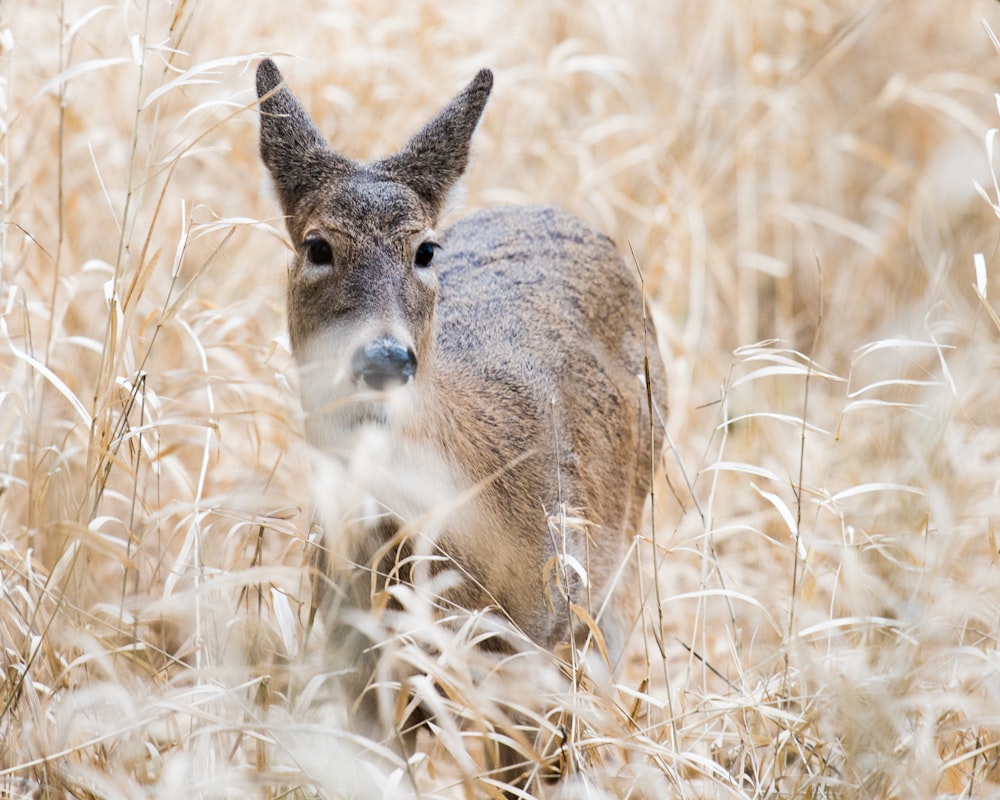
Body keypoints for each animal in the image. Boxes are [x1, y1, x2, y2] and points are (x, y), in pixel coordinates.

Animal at [254, 59, 668, 792]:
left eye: (424, 250)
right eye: (317, 245)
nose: (386, 356)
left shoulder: (536, 650)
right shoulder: (358, 661)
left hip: (607, 600)